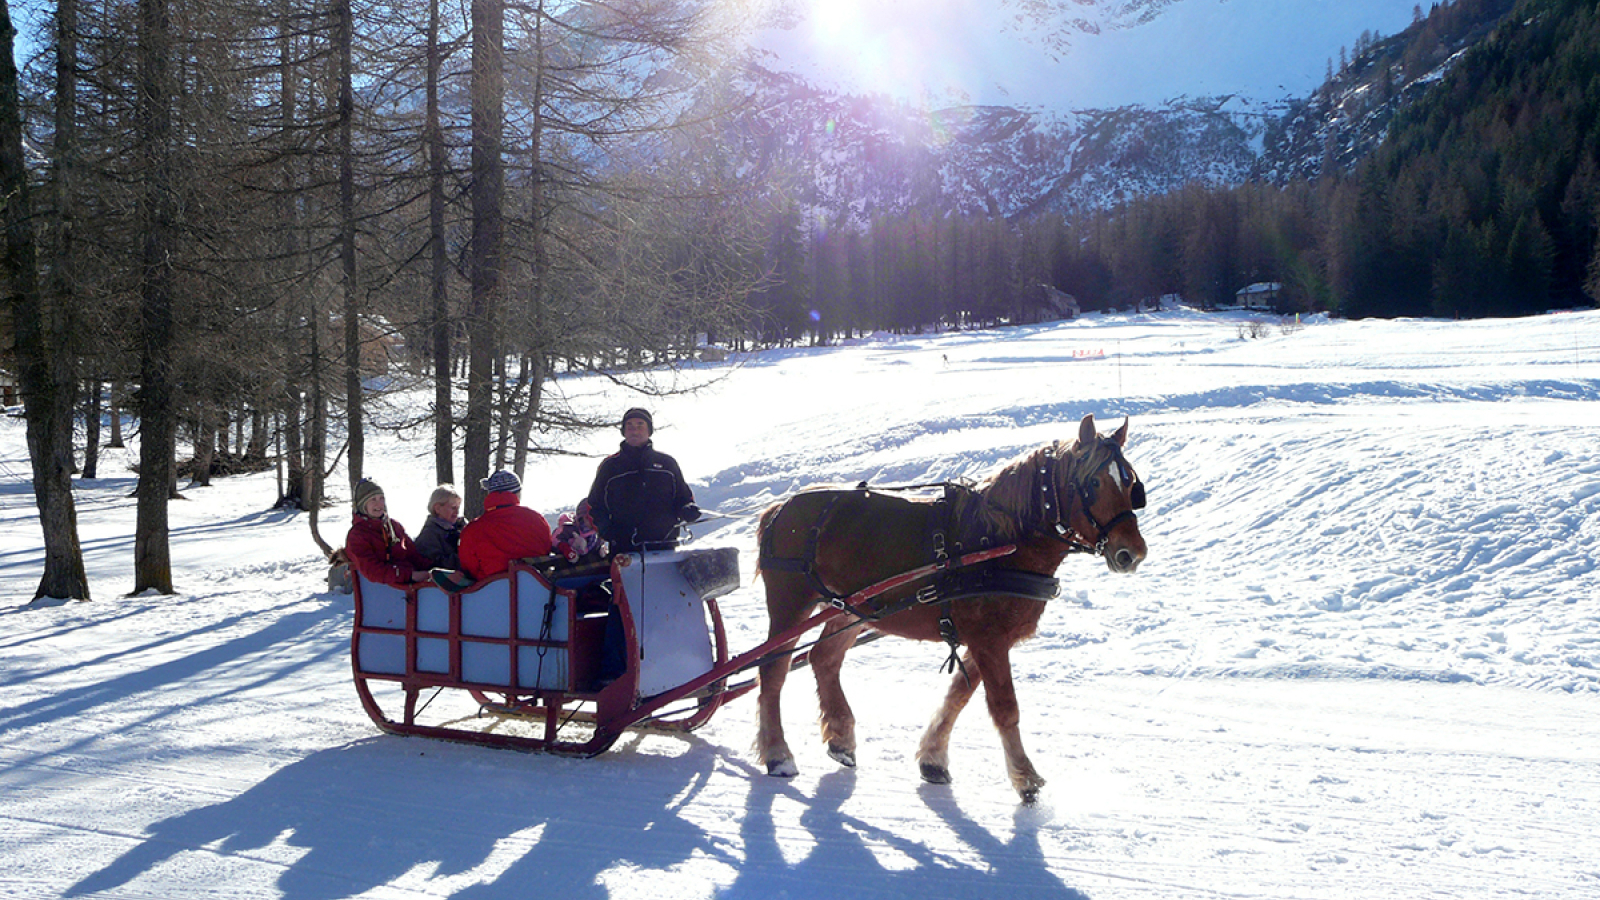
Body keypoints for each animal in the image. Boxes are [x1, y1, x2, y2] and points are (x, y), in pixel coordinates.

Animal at [752, 413, 1145, 797]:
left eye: (1130, 484)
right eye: (1093, 483)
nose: (1133, 553)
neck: (1002, 539)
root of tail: (780, 508)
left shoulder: (987, 640)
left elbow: (957, 696)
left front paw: (933, 758)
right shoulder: (989, 640)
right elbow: (1005, 708)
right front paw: (1025, 777)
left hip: (853, 609)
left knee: (824, 658)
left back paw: (841, 738)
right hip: (791, 604)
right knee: (772, 670)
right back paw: (778, 754)